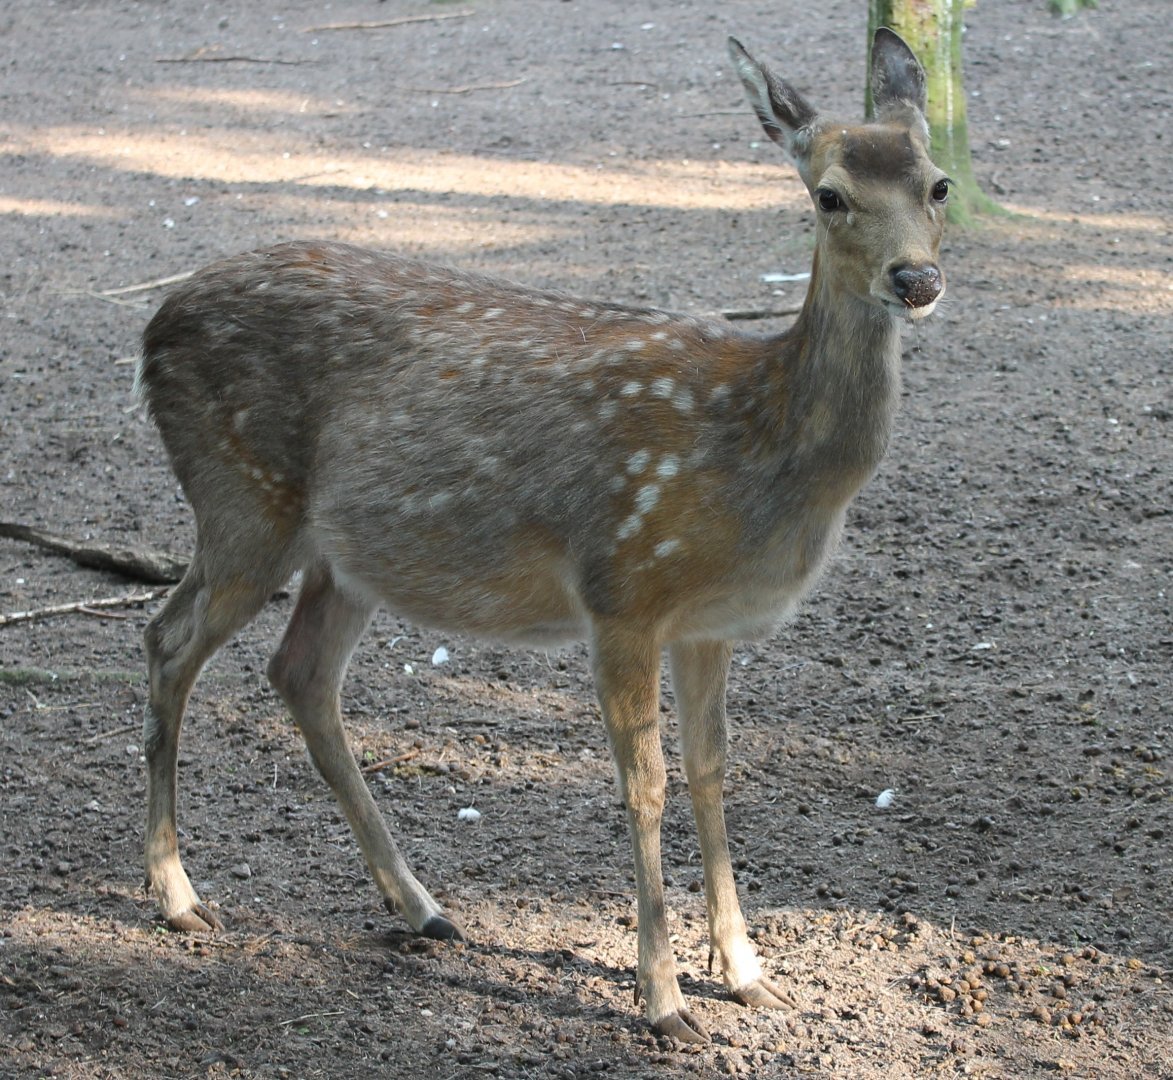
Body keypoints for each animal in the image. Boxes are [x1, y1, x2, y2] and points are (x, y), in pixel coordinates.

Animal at [135, 29, 947, 1043]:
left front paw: (748, 973)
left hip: (346, 556)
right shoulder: (622, 587)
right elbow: (645, 784)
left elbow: (713, 769)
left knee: (298, 671)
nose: (916, 279)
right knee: (168, 639)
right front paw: (663, 1002)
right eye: (830, 195)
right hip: (244, 501)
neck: (757, 446)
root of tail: (151, 327)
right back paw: (178, 896)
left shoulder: (709, 623)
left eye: (937, 185)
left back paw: (422, 907)